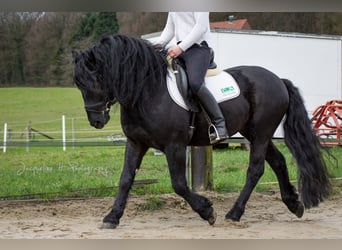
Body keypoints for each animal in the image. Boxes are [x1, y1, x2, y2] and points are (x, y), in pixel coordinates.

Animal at [72, 33, 332, 229]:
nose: (96, 121)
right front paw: (112, 217)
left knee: (255, 170)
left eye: (95, 80)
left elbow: (178, 184)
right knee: (277, 161)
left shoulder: (174, 146)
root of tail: (278, 80)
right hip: (255, 133)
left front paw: (207, 211)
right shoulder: (136, 143)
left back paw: (234, 213)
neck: (148, 91)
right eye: (78, 85)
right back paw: (294, 204)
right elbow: (125, 179)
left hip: (261, 133)